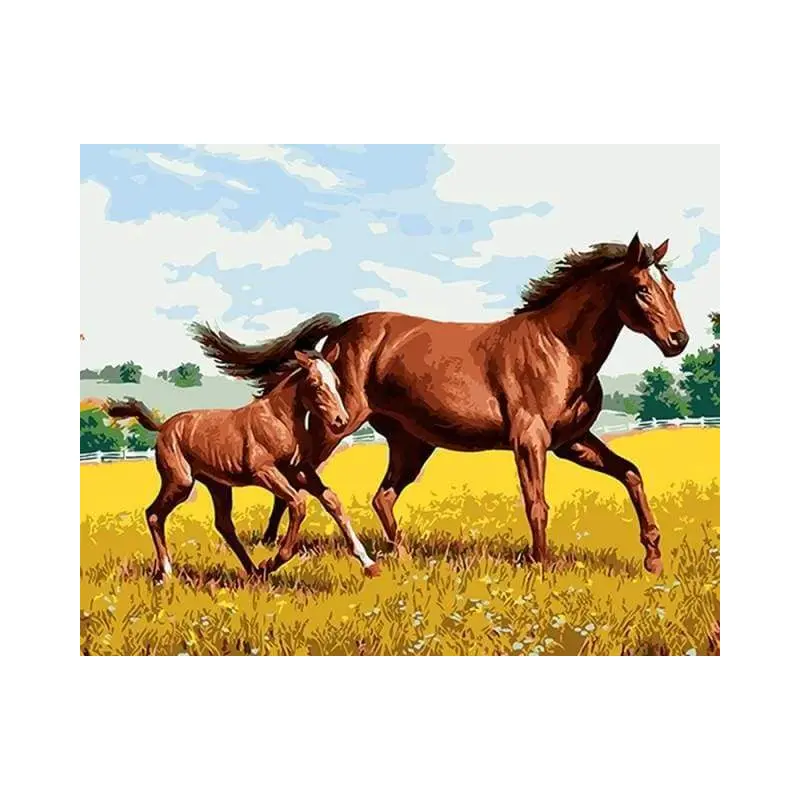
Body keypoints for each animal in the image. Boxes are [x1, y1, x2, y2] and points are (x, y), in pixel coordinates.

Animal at [105, 347, 380, 582]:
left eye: (337, 382)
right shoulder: (264, 472)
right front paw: (274, 561)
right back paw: (167, 572)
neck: (279, 419)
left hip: (218, 485)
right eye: (314, 384)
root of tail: (163, 427)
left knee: (224, 525)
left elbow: (331, 500)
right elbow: (298, 504)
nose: (340, 420)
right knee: (153, 514)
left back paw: (253, 572)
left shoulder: (298, 470)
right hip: (180, 482)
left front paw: (369, 564)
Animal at [192, 233, 688, 575]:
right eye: (642, 288)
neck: (558, 349)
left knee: (381, 496)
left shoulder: (573, 441)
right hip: (340, 423)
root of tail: (339, 333)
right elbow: (537, 503)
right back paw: (272, 548)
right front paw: (541, 566)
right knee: (302, 473)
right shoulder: (530, 441)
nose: (678, 340)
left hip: (411, 444)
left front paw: (652, 557)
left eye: (671, 287)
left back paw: (401, 557)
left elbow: (630, 473)